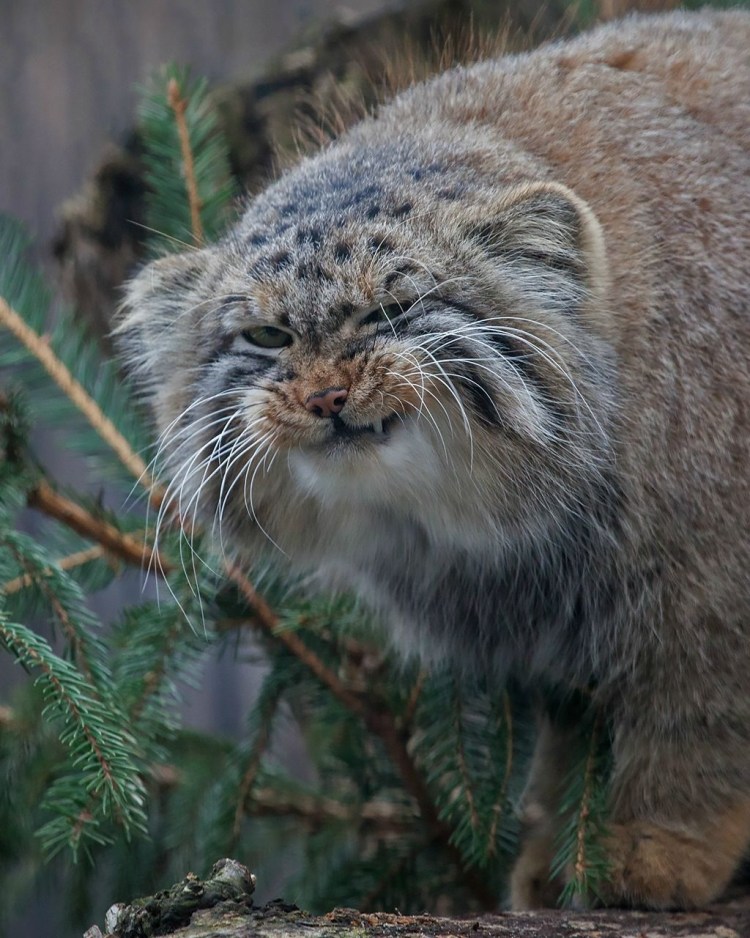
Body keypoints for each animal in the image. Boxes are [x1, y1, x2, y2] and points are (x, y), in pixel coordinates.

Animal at [120, 9, 750, 908]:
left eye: (388, 311)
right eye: (268, 336)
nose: (324, 397)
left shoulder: (709, 589)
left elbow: (694, 719)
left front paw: (652, 848)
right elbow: (575, 739)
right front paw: (560, 856)